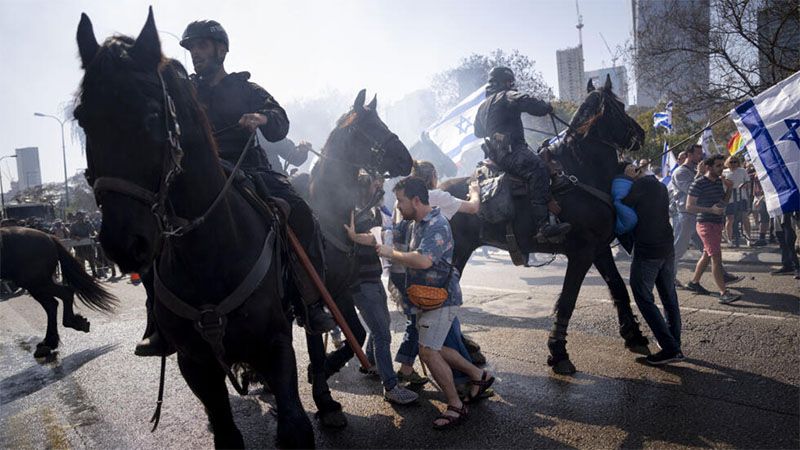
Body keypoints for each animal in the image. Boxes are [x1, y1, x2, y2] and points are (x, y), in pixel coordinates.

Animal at [0, 227, 117, 356]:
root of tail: (49, 237)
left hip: (35, 282)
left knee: (64, 294)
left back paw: (70, 325)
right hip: (36, 285)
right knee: (52, 304)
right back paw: (49, 342)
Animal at [74, 9, 312, 446]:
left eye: (153, 114)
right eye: (84, 119)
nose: (123, 243)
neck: (211, 253)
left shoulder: (275, 344)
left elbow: (295, 424)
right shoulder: (195, 364)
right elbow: (225, 432)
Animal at [300, 89, 412, 428]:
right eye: (372, 128)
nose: (407, 159)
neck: (327, 220)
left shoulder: (340, 292)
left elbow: (359, 333)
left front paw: (326, 368)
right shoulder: (314, 297)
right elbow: (315, 345)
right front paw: (324, 399)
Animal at [440, 76, 652, 372]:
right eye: (619, 106)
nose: (641, 134)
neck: (581, 172)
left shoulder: (600, 249)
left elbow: (618, 287)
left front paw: (633, 335)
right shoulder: (581, 253)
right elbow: (567, 300)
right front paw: (558, 352)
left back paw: (467, 348)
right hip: (455, 254)